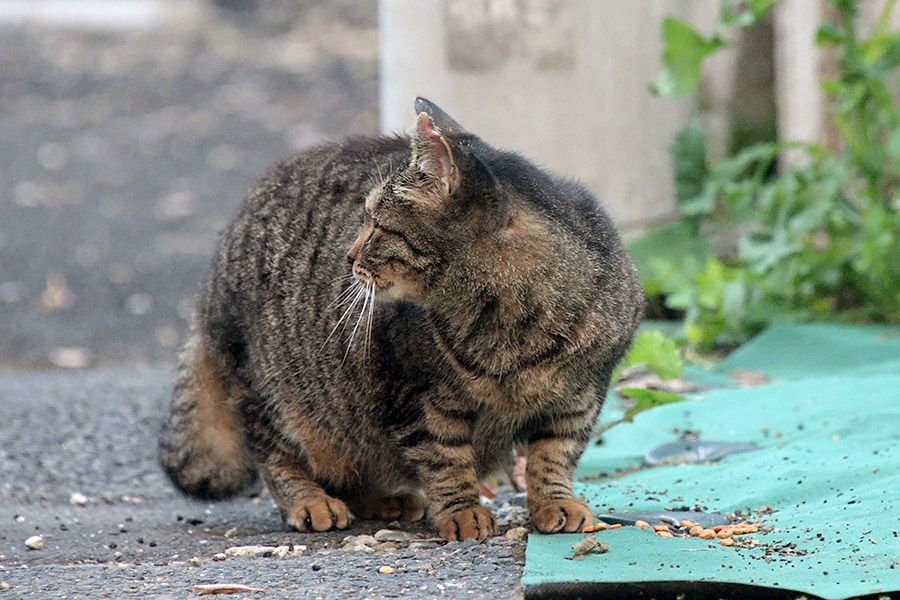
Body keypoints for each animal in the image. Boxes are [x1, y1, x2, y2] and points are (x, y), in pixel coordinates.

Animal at [158, 98, 644, 540]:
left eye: (375, 224)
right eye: (363, 219)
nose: (348, 255)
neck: (511, 324)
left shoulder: (581, 396)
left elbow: (554, 455)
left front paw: (555, 502)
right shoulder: (419, 397)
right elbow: (446, 460)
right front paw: (462, 513)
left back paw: (381, 500)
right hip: (273, 391)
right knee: (277, 454)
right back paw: (310, 503)